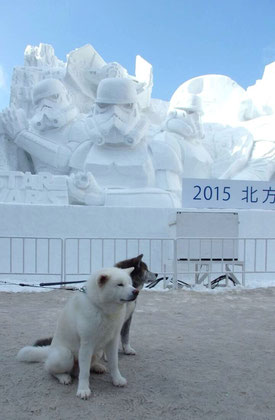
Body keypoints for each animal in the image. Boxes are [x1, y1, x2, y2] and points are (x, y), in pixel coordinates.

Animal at [16, 268, 138, 398]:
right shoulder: (86, 345)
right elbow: (84, 373)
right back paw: (64, 377)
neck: (102, 309)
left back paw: (97, 367)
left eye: (130, 283)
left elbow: (114, 364)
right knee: (50, 369)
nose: (136, 291)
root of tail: (49, 350)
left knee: (88, 366)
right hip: (65, 355)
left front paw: (117, 380)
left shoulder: (112, 341)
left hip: (98, 352)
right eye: (120, 284)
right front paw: (83, 389)